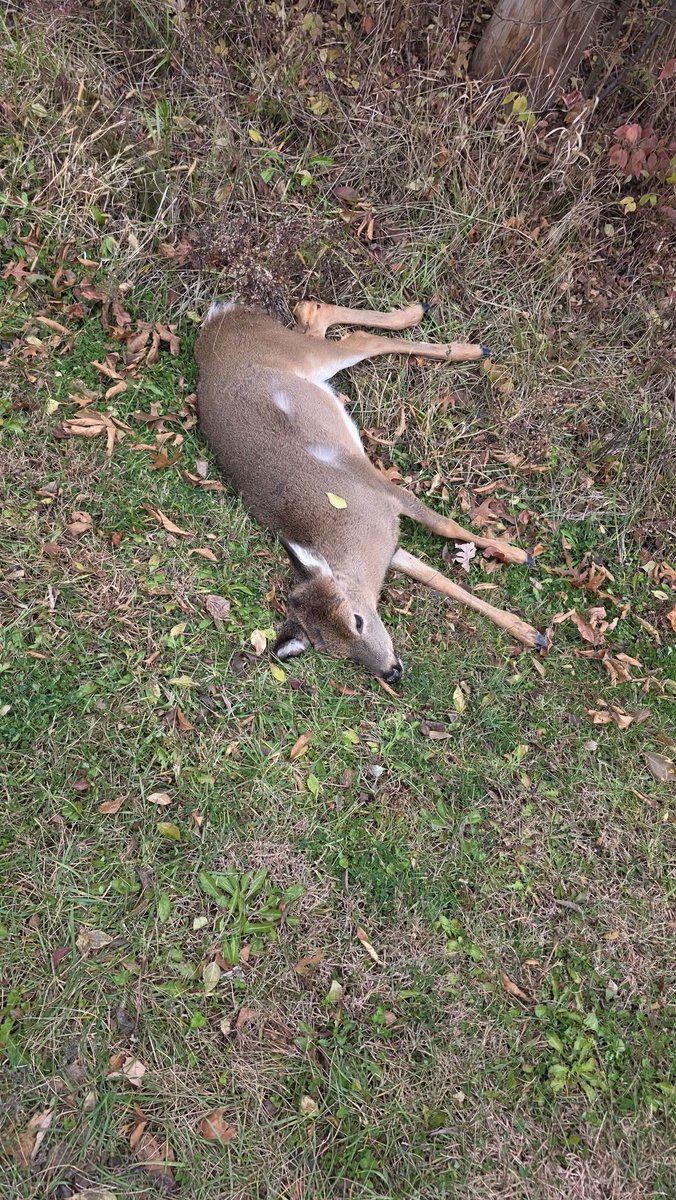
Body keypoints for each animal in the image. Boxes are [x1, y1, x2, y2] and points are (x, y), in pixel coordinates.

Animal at [195, 298, 546, 683]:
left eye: (357, 621)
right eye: (335, 652)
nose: (391, 672)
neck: (350, 533)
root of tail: (217, 322)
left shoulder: (385, 491)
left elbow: (446, 526)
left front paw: (518, 555)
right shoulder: (390, 545)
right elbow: (437, 578)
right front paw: (529, 631)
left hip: (301, 354)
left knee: (359, 340)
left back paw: (459, 340)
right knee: (326, 326)